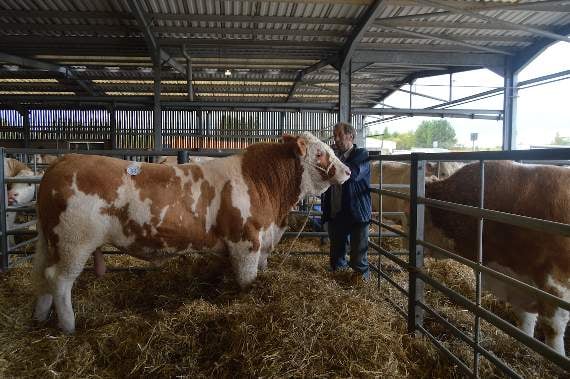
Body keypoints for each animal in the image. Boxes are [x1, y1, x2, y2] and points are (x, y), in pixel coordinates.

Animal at [31, 133, 350, 332]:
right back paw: (69, 326)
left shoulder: (262, 243)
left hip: (52, 242)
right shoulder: (245, 242)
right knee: (58, 280)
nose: (347, 171)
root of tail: (64, 160)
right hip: (74, 242)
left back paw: (40, 317)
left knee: (43, 276)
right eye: (320, 153)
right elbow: (247, 280)